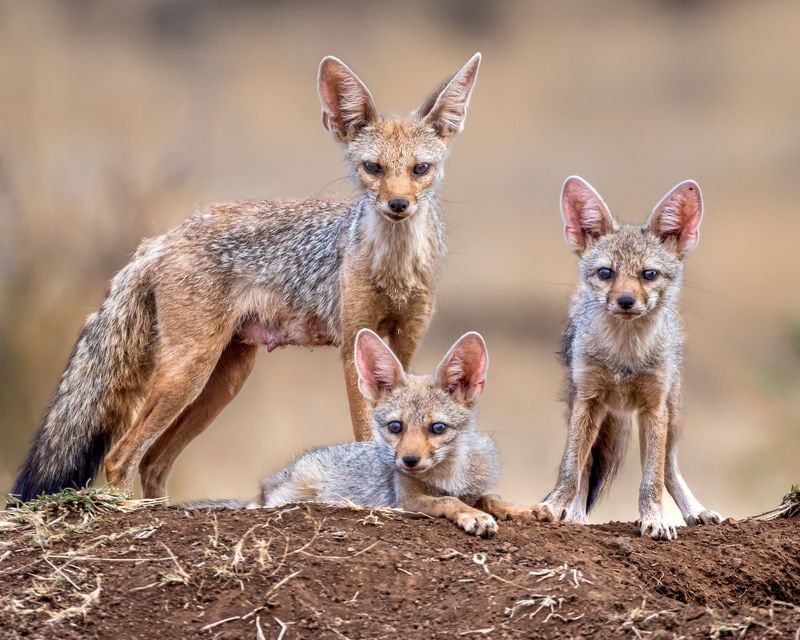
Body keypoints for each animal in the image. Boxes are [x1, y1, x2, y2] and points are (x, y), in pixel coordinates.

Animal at [11, 53, 482, 503]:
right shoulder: (354, 347)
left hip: (221, 381)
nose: (398, 205)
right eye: (373, 168)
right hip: (188, 373)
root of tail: (163, 237)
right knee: (120, 457)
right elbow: (368, 433)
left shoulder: (404, 343)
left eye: (420, 169)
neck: (394, 271)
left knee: (153, 462)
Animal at [184, 329, 531, 538]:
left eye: (437, 428)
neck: (449, 477)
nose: (408, 461)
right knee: (259, 504)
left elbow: (489, 497)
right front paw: (473, 515)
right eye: (395, 427)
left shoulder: (474, 487)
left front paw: (524, 509)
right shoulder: (406, 501)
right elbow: (449, 502)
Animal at [531, 176, 722, 540]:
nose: (625, 301)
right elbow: (572, 467)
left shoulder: (654, 407)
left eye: (649, 275)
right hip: (586, 408)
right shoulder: (588, 400)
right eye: (606, 273)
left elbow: (652, 479)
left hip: (672, 414)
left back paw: (697, 512)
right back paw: (574, 514)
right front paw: (555, 507)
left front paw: (654, 519)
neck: (625, 357)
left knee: (669, 467)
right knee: (587, 465)